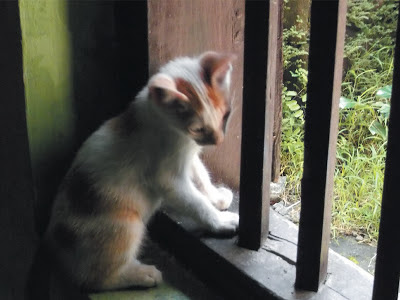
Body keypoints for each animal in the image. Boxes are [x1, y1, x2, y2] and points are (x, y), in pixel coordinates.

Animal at [44, 51, 238, 290]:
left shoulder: (187, 156)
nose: (218, 140)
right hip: (126, 225)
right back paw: (142, 274)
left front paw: (216, 197)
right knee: (95, 279)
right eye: (197, 128)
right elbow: (196, 203)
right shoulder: (168, 179)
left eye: (225, 114)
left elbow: (201, 176)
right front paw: (220, 222)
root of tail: (53, 247)